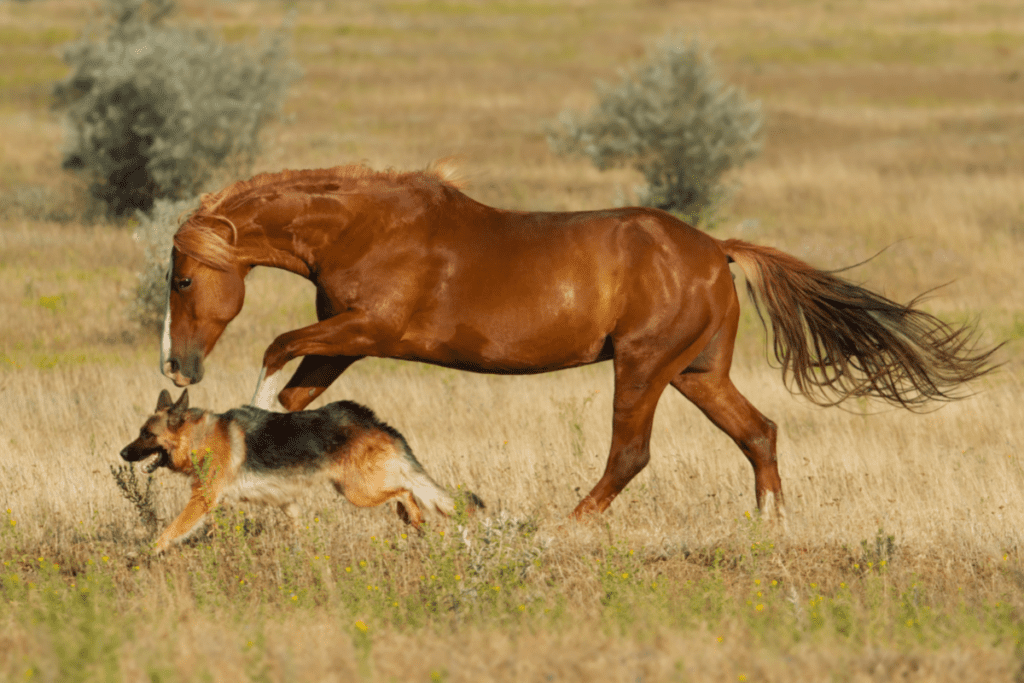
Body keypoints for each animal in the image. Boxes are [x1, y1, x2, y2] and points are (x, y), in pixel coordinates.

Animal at [119, 389, 475, 557]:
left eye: (146, 435)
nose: (122, 454)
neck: (199, 439)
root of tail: (372, 420)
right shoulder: (285, 502)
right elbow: (298, 530)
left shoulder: (202, 500)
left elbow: (169, 532)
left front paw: (144, 554)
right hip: (359, 488)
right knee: (406, 491)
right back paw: (412, 519)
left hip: (358, 492)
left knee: (405, 490)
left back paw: (414, 517)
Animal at [159, 160, 999, 520]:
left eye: (182, 279)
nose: (178, 364)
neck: (368, 224)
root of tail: (715, 249)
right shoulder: (344, 339)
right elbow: (298, 386)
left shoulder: (371, 328)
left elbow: (274, 350)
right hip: (696, 371)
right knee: (759, 432)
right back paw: (767, 527)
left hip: (643, 364)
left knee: (631, 454)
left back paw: (564, 527)